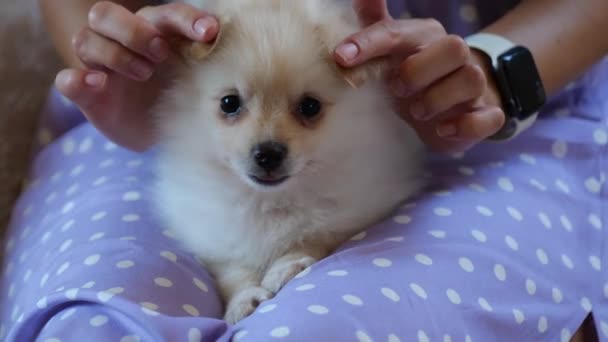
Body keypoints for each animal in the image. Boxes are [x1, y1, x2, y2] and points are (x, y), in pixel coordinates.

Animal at [154, 0, 426, 324]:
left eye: (310, 106)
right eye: (229, 103)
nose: (268, 153)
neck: (269, 201)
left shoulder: (357, 208)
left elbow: (316, 233)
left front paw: (288, 265)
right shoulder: (216, 234)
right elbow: (232, 270)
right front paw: (243, 299)